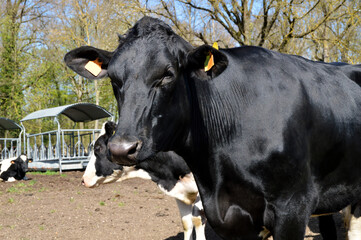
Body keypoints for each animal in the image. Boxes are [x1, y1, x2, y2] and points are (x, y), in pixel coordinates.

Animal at [64, 17, 360, 240]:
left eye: (168, 74)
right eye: (113, 79)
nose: (122, 148)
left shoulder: (292, 207)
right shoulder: (224, 213)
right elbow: (189, 224)